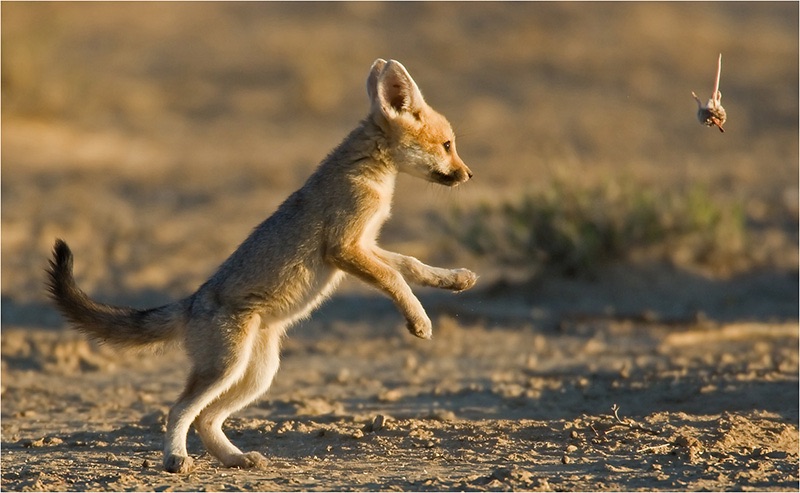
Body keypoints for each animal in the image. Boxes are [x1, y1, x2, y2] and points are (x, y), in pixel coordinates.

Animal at [46, 58, 477, 473]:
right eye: (448, 145)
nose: (469, 174)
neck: (370, 172)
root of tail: (193, 300)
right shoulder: (344, 249)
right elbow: (394, 278)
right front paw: (419, 320)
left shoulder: (367, 243)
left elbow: (411, 264)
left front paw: (455, 279)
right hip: (226, 369)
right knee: (179, 410)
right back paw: (175, 459)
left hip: (256, 375)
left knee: (205, 419)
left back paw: (235, 459)